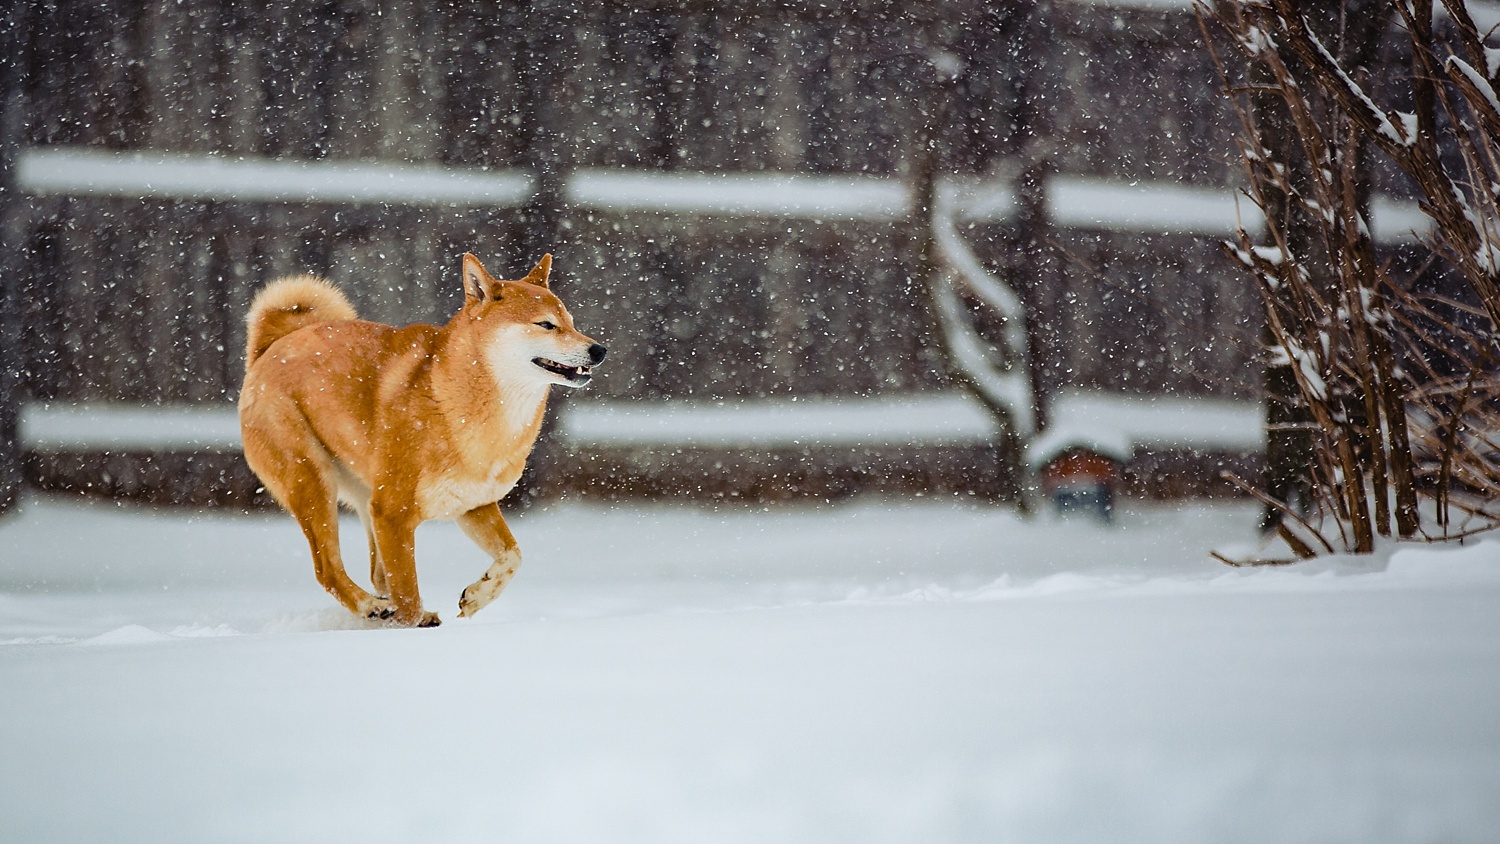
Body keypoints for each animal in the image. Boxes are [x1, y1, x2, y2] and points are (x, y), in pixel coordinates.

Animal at [240, 250, 603, 626]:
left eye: (571, 321)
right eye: (546, 325)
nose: (599, 350)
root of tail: (269, 349)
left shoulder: (473, 506)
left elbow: (513, 555)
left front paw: (478, 595)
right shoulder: (393, 513)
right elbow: (408, 595)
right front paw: (412, 625)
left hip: (364, 498)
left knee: (376, 575)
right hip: (313, 482)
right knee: (328, 570)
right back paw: (371, 608)